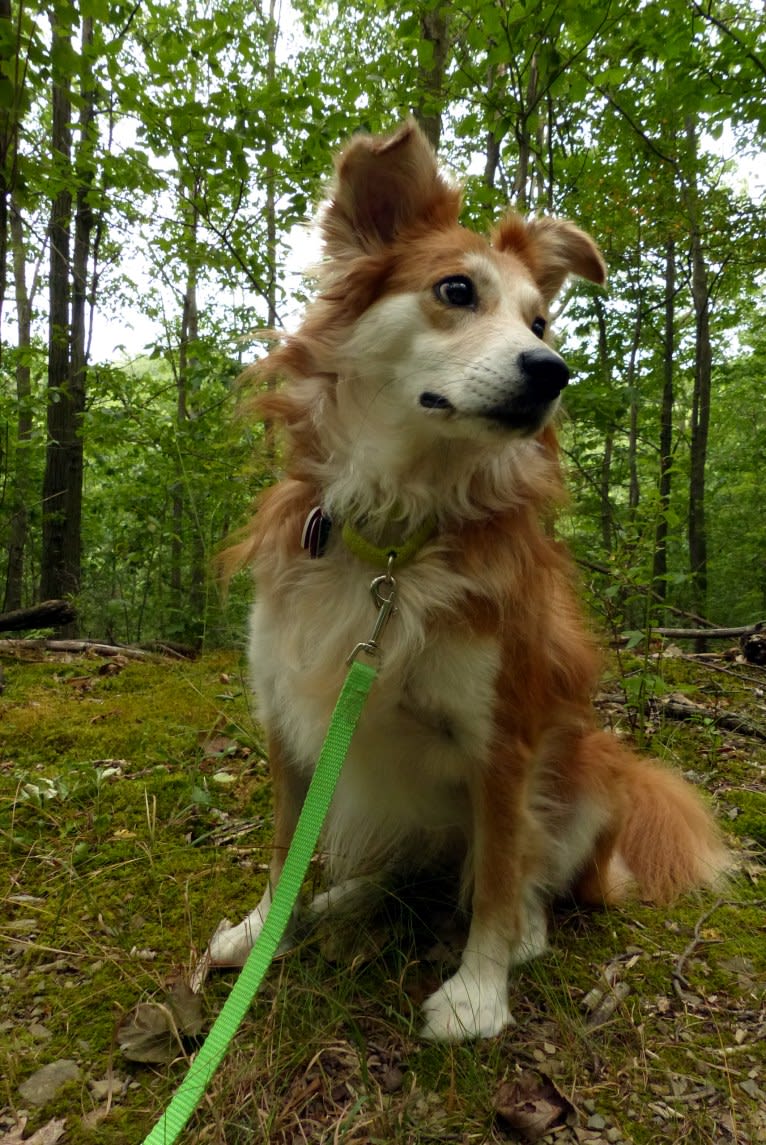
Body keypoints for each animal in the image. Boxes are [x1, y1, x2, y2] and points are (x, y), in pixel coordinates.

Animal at [207, 120, 723, 1044]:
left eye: (541, 319)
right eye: (456, 290)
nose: (552, 369)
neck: (394, 537)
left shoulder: (501, 739)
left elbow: (499, 876)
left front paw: (479, 992)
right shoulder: (290, 714)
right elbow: (284, 843)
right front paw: (267, 926)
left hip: (589, 772)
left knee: (525, 873)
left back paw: (523, 931)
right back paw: (345, 896)